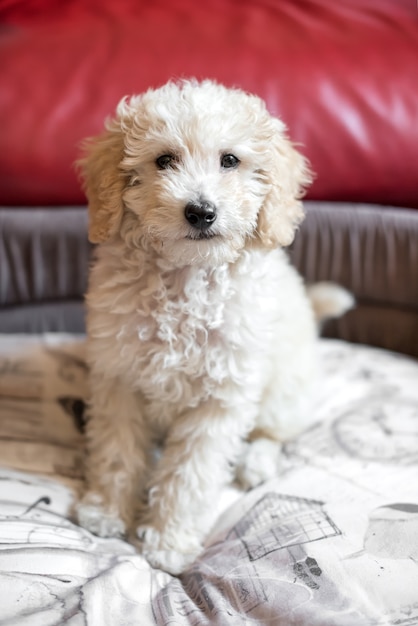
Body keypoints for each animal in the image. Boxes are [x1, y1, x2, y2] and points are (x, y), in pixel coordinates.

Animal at [76, 78, 352, 572]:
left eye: (230, 160)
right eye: (164, 160)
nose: (200, 212)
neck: (186, 276)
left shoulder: (221, 397)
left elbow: (190, 474)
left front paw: (168, 541)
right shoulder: (118, 375)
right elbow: (116, 449)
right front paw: (105, 512)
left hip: (284, 389)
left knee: (273, 432)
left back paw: (255, 464)